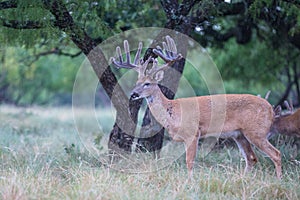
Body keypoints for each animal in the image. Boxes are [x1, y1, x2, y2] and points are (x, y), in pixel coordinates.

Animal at [109, 35, 282, 178]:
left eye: (147, 84)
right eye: (136, 82)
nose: (133, 94)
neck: (172, 112)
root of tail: (271, 109)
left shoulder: (193, 132)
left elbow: (189, 161)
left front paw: (190, 182)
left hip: (256, 131)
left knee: (276, 154)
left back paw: (278, 181)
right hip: (239, 134)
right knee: (251, 158)